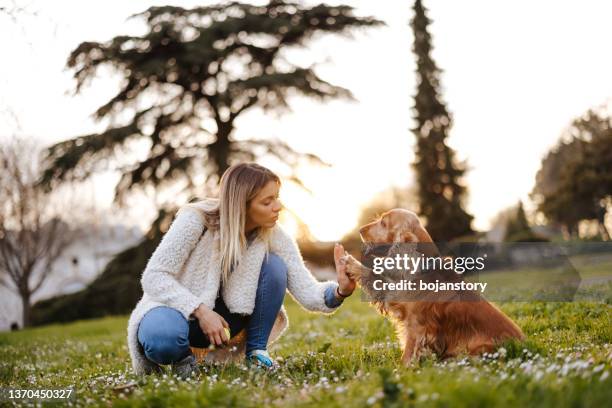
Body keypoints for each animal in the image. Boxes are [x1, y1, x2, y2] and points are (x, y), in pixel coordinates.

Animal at [342, 209, 524, 364]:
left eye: (383, 223)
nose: (360, 229)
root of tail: (523, 344)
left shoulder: (416, 326)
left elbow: (407, 354)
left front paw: (401, 371)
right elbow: (373, 277)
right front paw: (349, 262)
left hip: (479, 347)